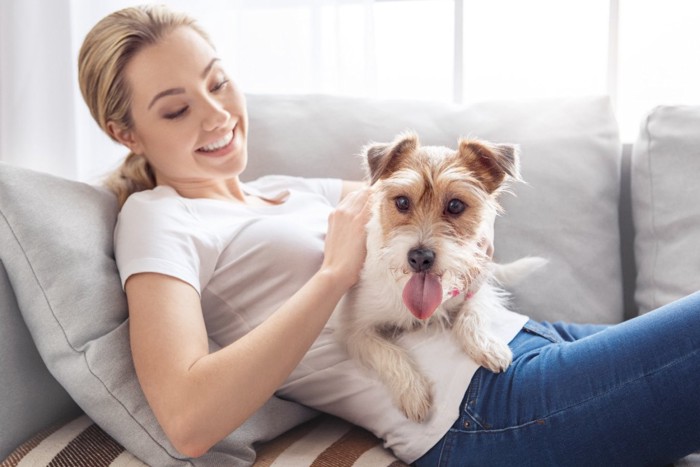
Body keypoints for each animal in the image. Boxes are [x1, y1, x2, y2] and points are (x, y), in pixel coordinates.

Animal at [334, 132, 540, 424]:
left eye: (455, 205)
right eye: (402, 202)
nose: (420, 257)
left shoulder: (477, 285)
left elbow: (471, 315)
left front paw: (486, 345)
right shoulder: (354, 329)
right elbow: (387, 352)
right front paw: (413, 392)